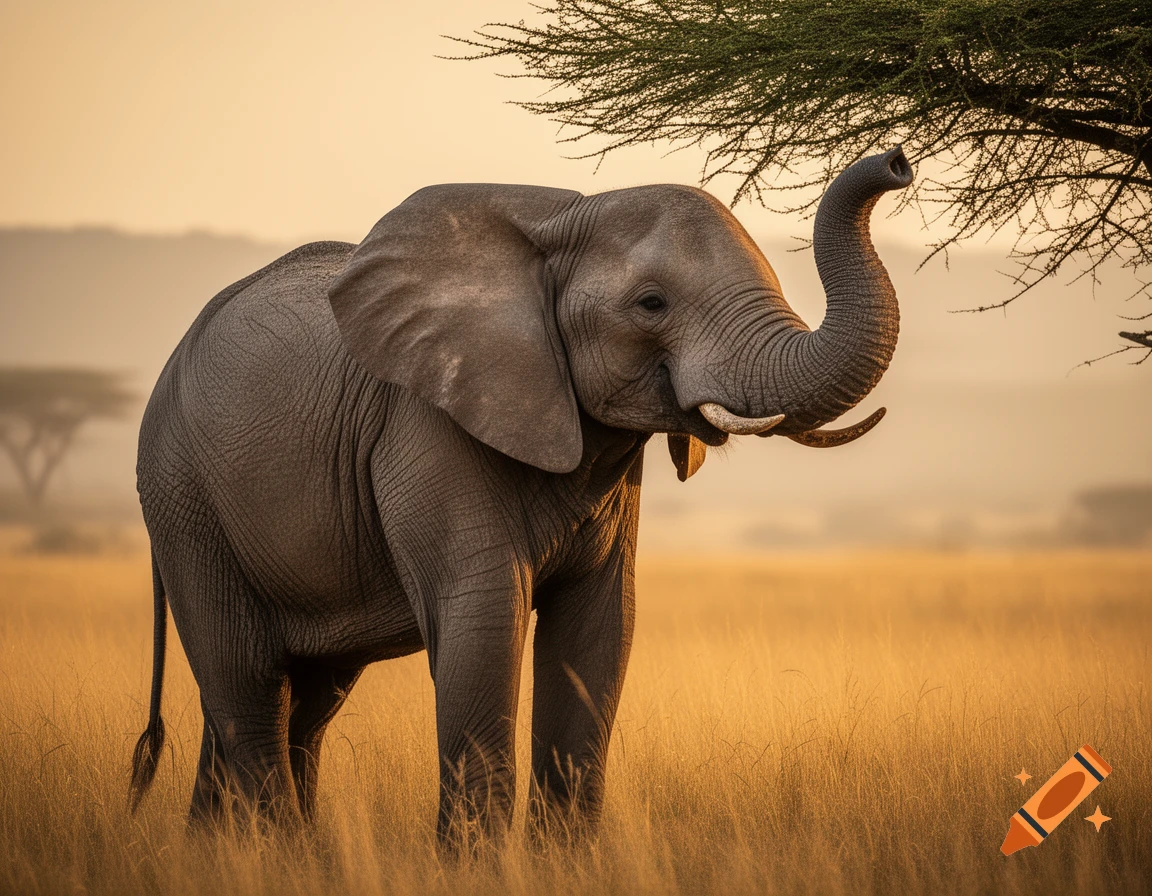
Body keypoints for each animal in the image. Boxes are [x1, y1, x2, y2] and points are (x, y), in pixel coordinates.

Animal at [128, 147, 913, 843]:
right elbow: (483, 618)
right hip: (182, 497)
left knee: (304, 700)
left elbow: (601, 627)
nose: (897, 161)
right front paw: (473, 868)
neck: (558, 220)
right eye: (651, 304)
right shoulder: (428, 425)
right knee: (249, 685)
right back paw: (279, 854)